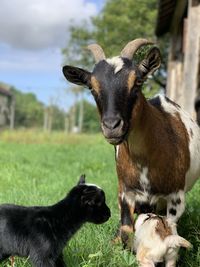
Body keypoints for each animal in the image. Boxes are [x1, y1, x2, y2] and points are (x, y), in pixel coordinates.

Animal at [62, 38, 200, 246]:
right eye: (92, 87)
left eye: (137, 82)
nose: (112, 126)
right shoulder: (126, 192)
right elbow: (126, 229)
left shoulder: (176, 197)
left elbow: (168, 229)